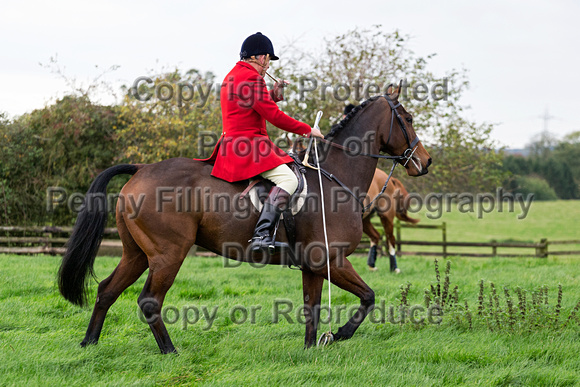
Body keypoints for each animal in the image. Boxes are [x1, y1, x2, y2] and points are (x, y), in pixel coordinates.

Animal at [59, 85, 430, 354]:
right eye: (409, 118)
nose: (425, 162)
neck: (334, 178)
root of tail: (141, 169)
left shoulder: (313, 265)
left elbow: (311, 308)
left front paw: (310, 350)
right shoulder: (332, 260)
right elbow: (368, 297)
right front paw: (339, 334)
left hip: (136, 254)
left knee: (107, 290)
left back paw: (89, 344)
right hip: (167, 255)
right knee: (149, 300)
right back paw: (170, 351)